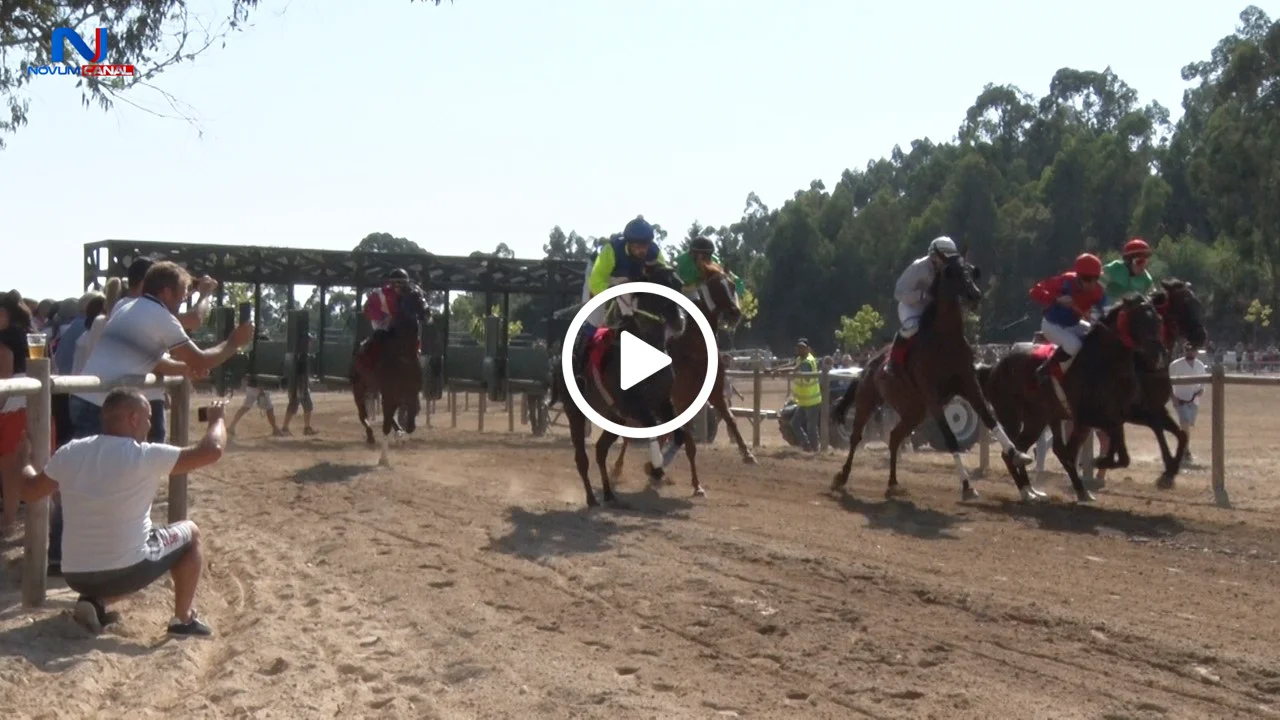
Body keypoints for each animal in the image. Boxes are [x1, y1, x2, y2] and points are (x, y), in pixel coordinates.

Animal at [350, 280, 430, 458]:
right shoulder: (388, 391)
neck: (403, 354)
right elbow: (386, 425)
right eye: (412, 295)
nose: (428, 311)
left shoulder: (411, 392)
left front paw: (401, 434)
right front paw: (383, 459)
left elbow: (410, 423)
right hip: (359, 388)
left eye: (422, 293)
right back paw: (370, 436)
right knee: (362, 415)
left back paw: (397, 431)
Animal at [550, 263, 691, 504]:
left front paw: (658, 468)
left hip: (613, 418)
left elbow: (679, 434)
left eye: (679, 284)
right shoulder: (631, 406)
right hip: (575, 413)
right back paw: (591, 498)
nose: (678, 321)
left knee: (600, 451)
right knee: (582, 458)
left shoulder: (662, 401)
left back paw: (609, 493)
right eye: (659, 285)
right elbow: (652, 429)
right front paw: (655, 467)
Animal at [606, 260, 747, 489]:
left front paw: (747, 453)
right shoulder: (680, 402)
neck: (695, 350)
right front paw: (697, 485)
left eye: (732, 285)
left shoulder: (716, 394)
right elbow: (689, 444)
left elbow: (731, 419)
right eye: (716, 286)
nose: (735, 312)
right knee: (632, 431)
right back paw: (619, 468)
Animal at [824, 249, 1034, 502]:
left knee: (894, 437)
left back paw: (893, 483)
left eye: (971, 270)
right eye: (952, 272)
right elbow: (951, 438)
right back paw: (841, 477)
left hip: (913, 411)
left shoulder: (968, 384)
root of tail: (866, 367)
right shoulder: (933, 397)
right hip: (868, 401)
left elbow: (989, 418)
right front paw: (967, 486)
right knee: (856, 437)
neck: (945, 340)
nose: (975, 295)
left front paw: (1017, 454)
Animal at [977, 292, 1172, 499]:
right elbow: (1108, 450)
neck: (1105, 362)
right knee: (1011, 453)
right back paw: (1027, 492)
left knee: (1025, 450)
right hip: (1011, 416)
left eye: (1158, 321)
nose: (1160, 355)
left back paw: (1039, 490)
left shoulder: (1116, 415)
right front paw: (1098, 462)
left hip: (1036, 419)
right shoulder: (1089, 417)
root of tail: (993, 368)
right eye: (1139, 321)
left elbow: (1122, 454)